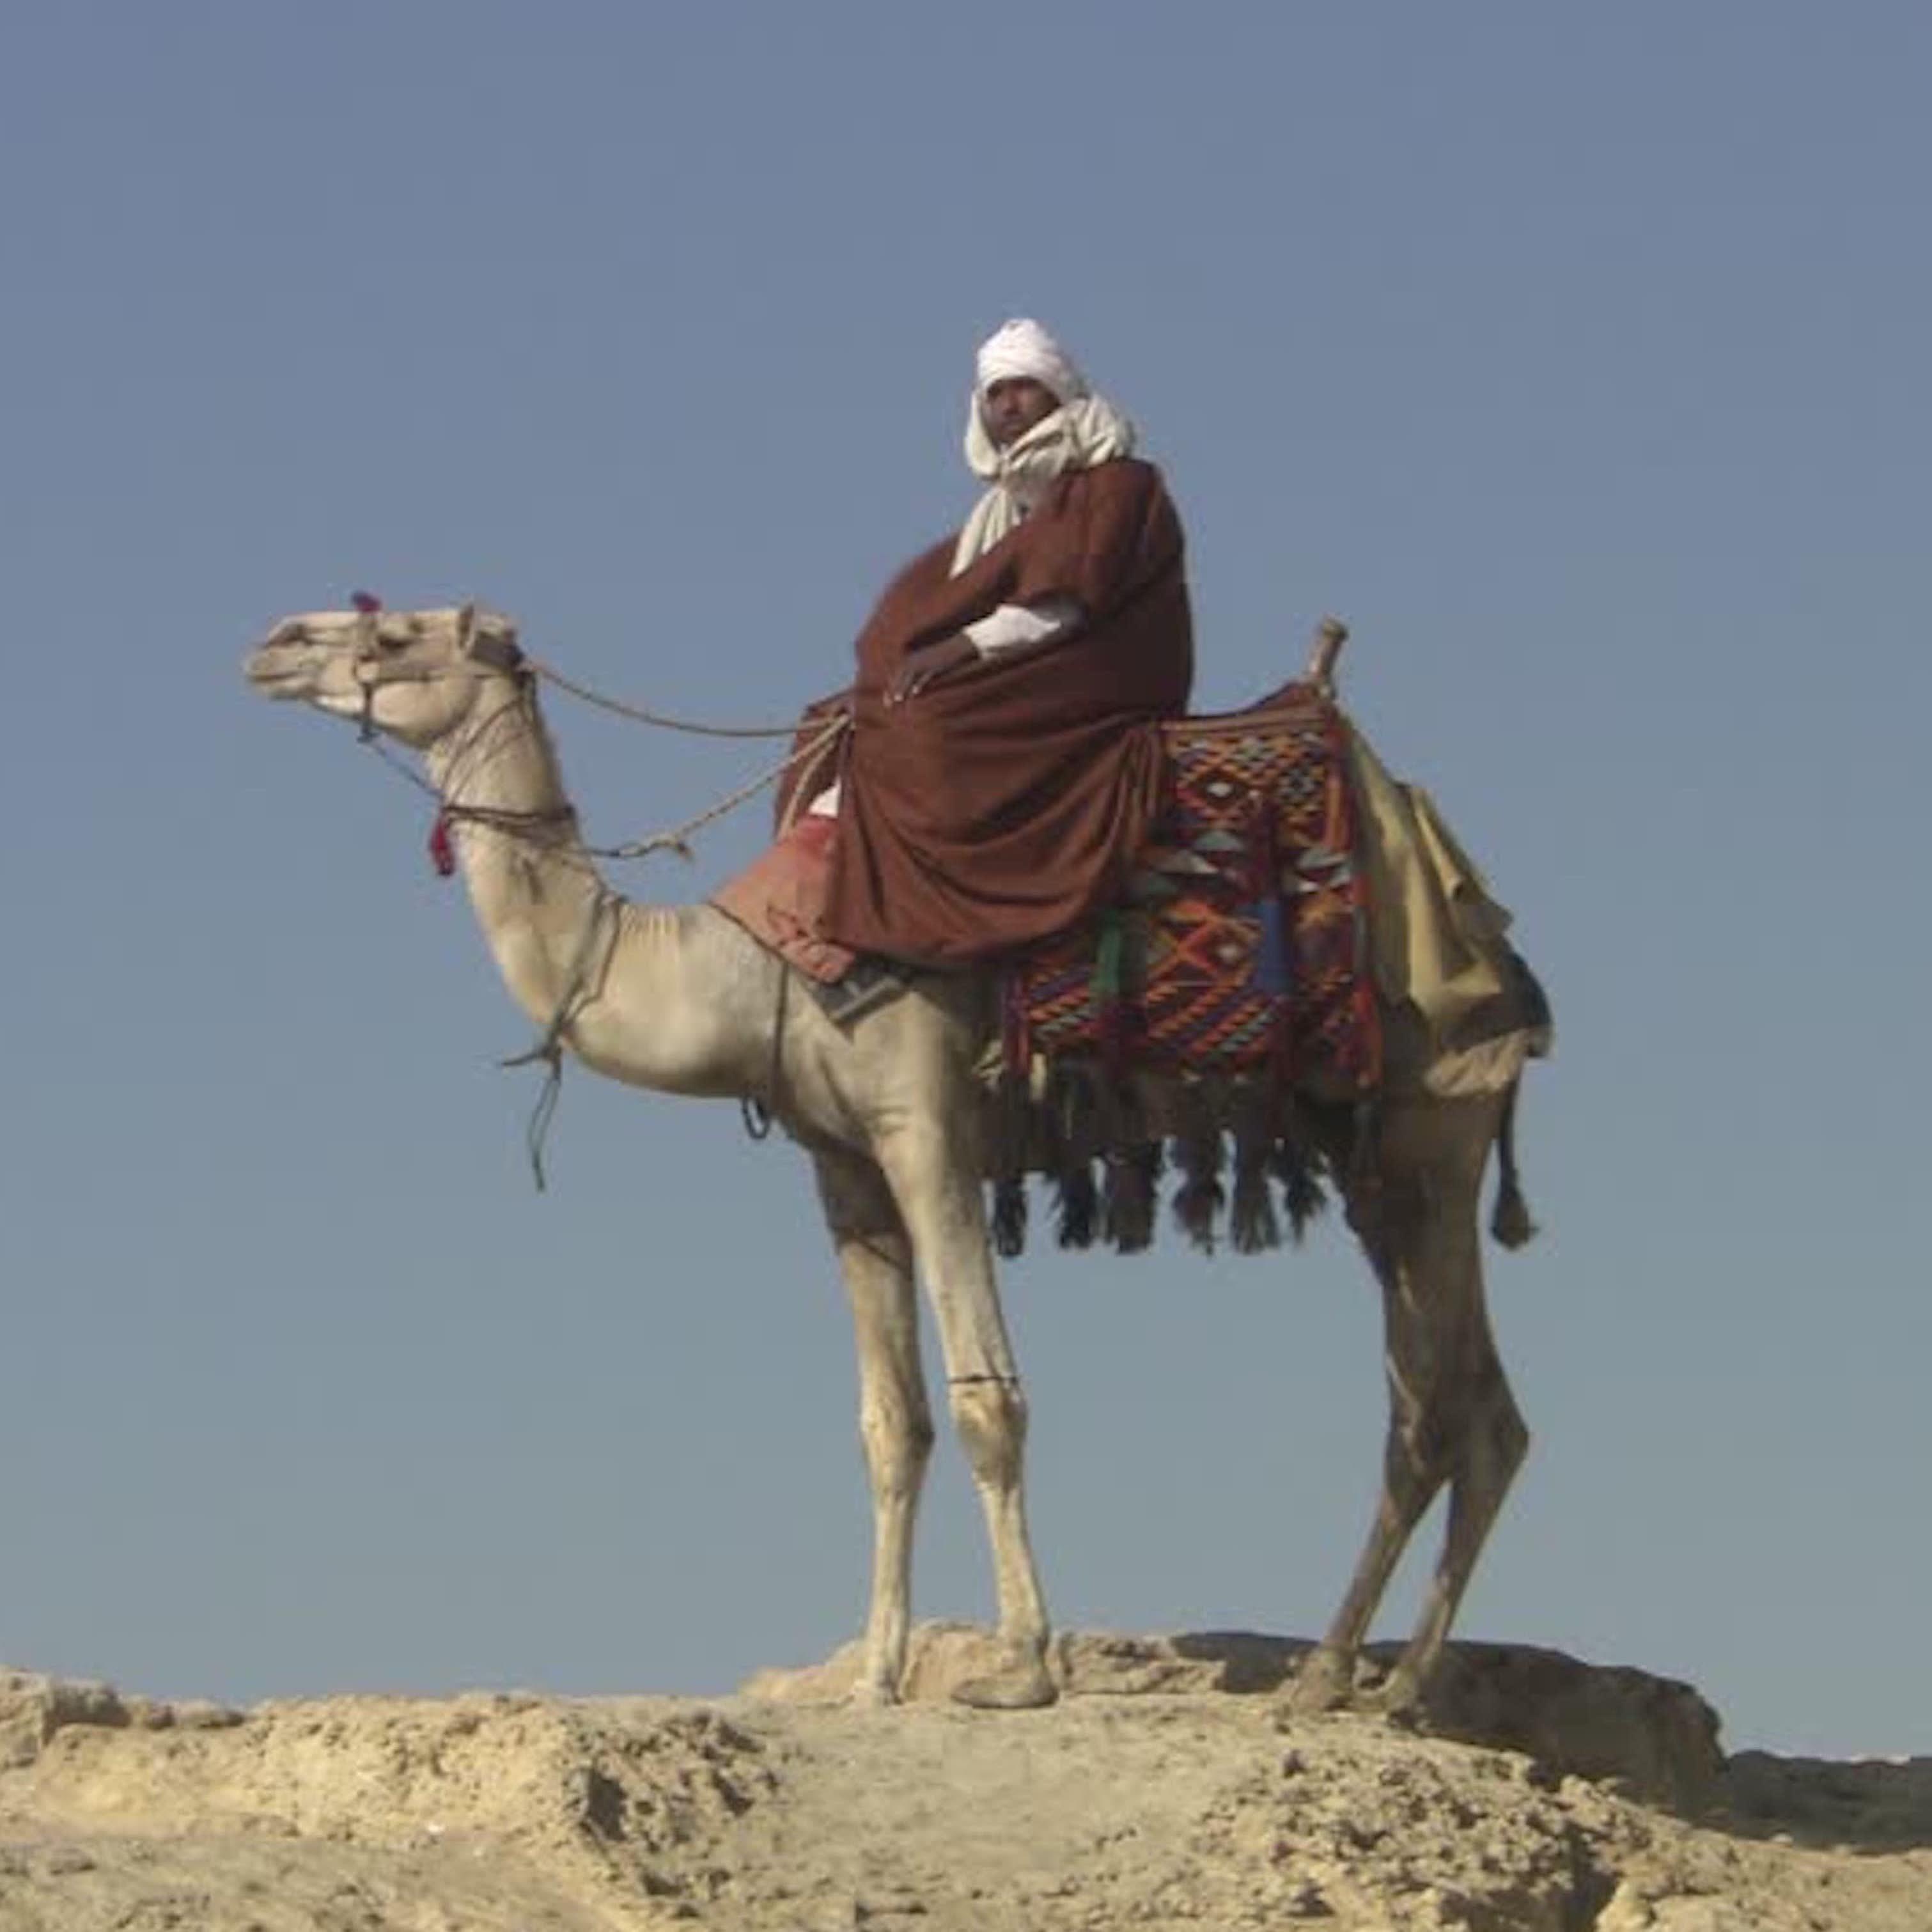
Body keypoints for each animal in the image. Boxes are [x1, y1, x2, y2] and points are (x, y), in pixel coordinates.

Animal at [244, 600, 1544, 1718]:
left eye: (393, 632)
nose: (272, 643)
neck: (740, 970)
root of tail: (1476, 918)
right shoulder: (843, 1163)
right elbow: (891, 1422)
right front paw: (877, 1673)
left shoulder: (927, 1127)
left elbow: (986, 1401)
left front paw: (1022, 1666)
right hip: (1379, 1153)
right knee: (1472, 1406)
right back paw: (1368, 1672)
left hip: (1429, 1117)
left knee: (1435, 1407)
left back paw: (1364, 1677)